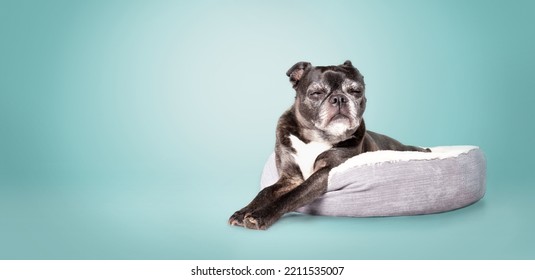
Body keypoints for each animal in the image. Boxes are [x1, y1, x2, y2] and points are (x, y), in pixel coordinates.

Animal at [228, 60, 430, 229]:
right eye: (316, 93)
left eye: (355, 91)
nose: (339, 98)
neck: (317, 137)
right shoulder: (289, 178)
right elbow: (265, 192)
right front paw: (243, 212)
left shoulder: (324, 173)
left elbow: (293, 195)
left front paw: (260, 215)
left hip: (403, 149)